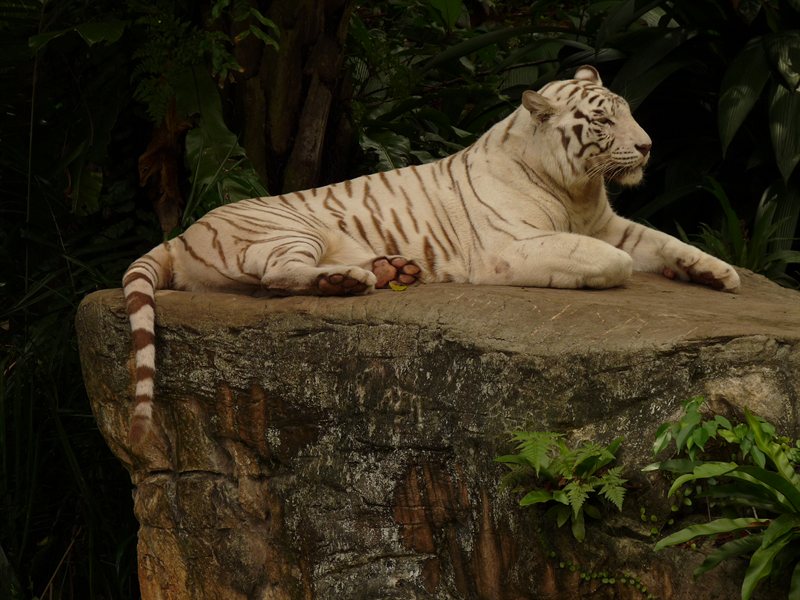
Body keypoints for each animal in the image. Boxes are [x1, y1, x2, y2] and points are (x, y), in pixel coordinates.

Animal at [122, 65, 740, 445]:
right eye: (605, 120)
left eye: (627, 112)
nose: (648, 147)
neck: (579, 189)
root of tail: (182, 232)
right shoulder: (511, 249)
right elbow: (608, 260)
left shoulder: (611, 224)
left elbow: (667, 243)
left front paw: (721, 273)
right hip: (291, 230)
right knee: (272, 274)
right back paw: (348, 280)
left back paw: (390, 268)